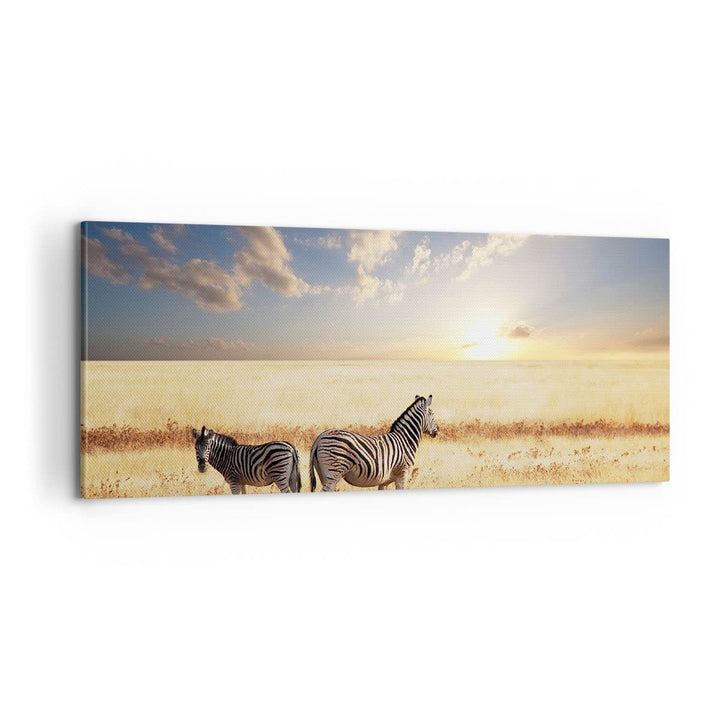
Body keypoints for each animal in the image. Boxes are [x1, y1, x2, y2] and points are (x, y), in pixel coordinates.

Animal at [309, 395, 438, 492]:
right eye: (432, 414)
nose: (437, 430)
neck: (405, 439)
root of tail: (320, 437)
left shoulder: (384, 481)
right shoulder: (402, 474)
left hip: (323, 474)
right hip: (333, 473)